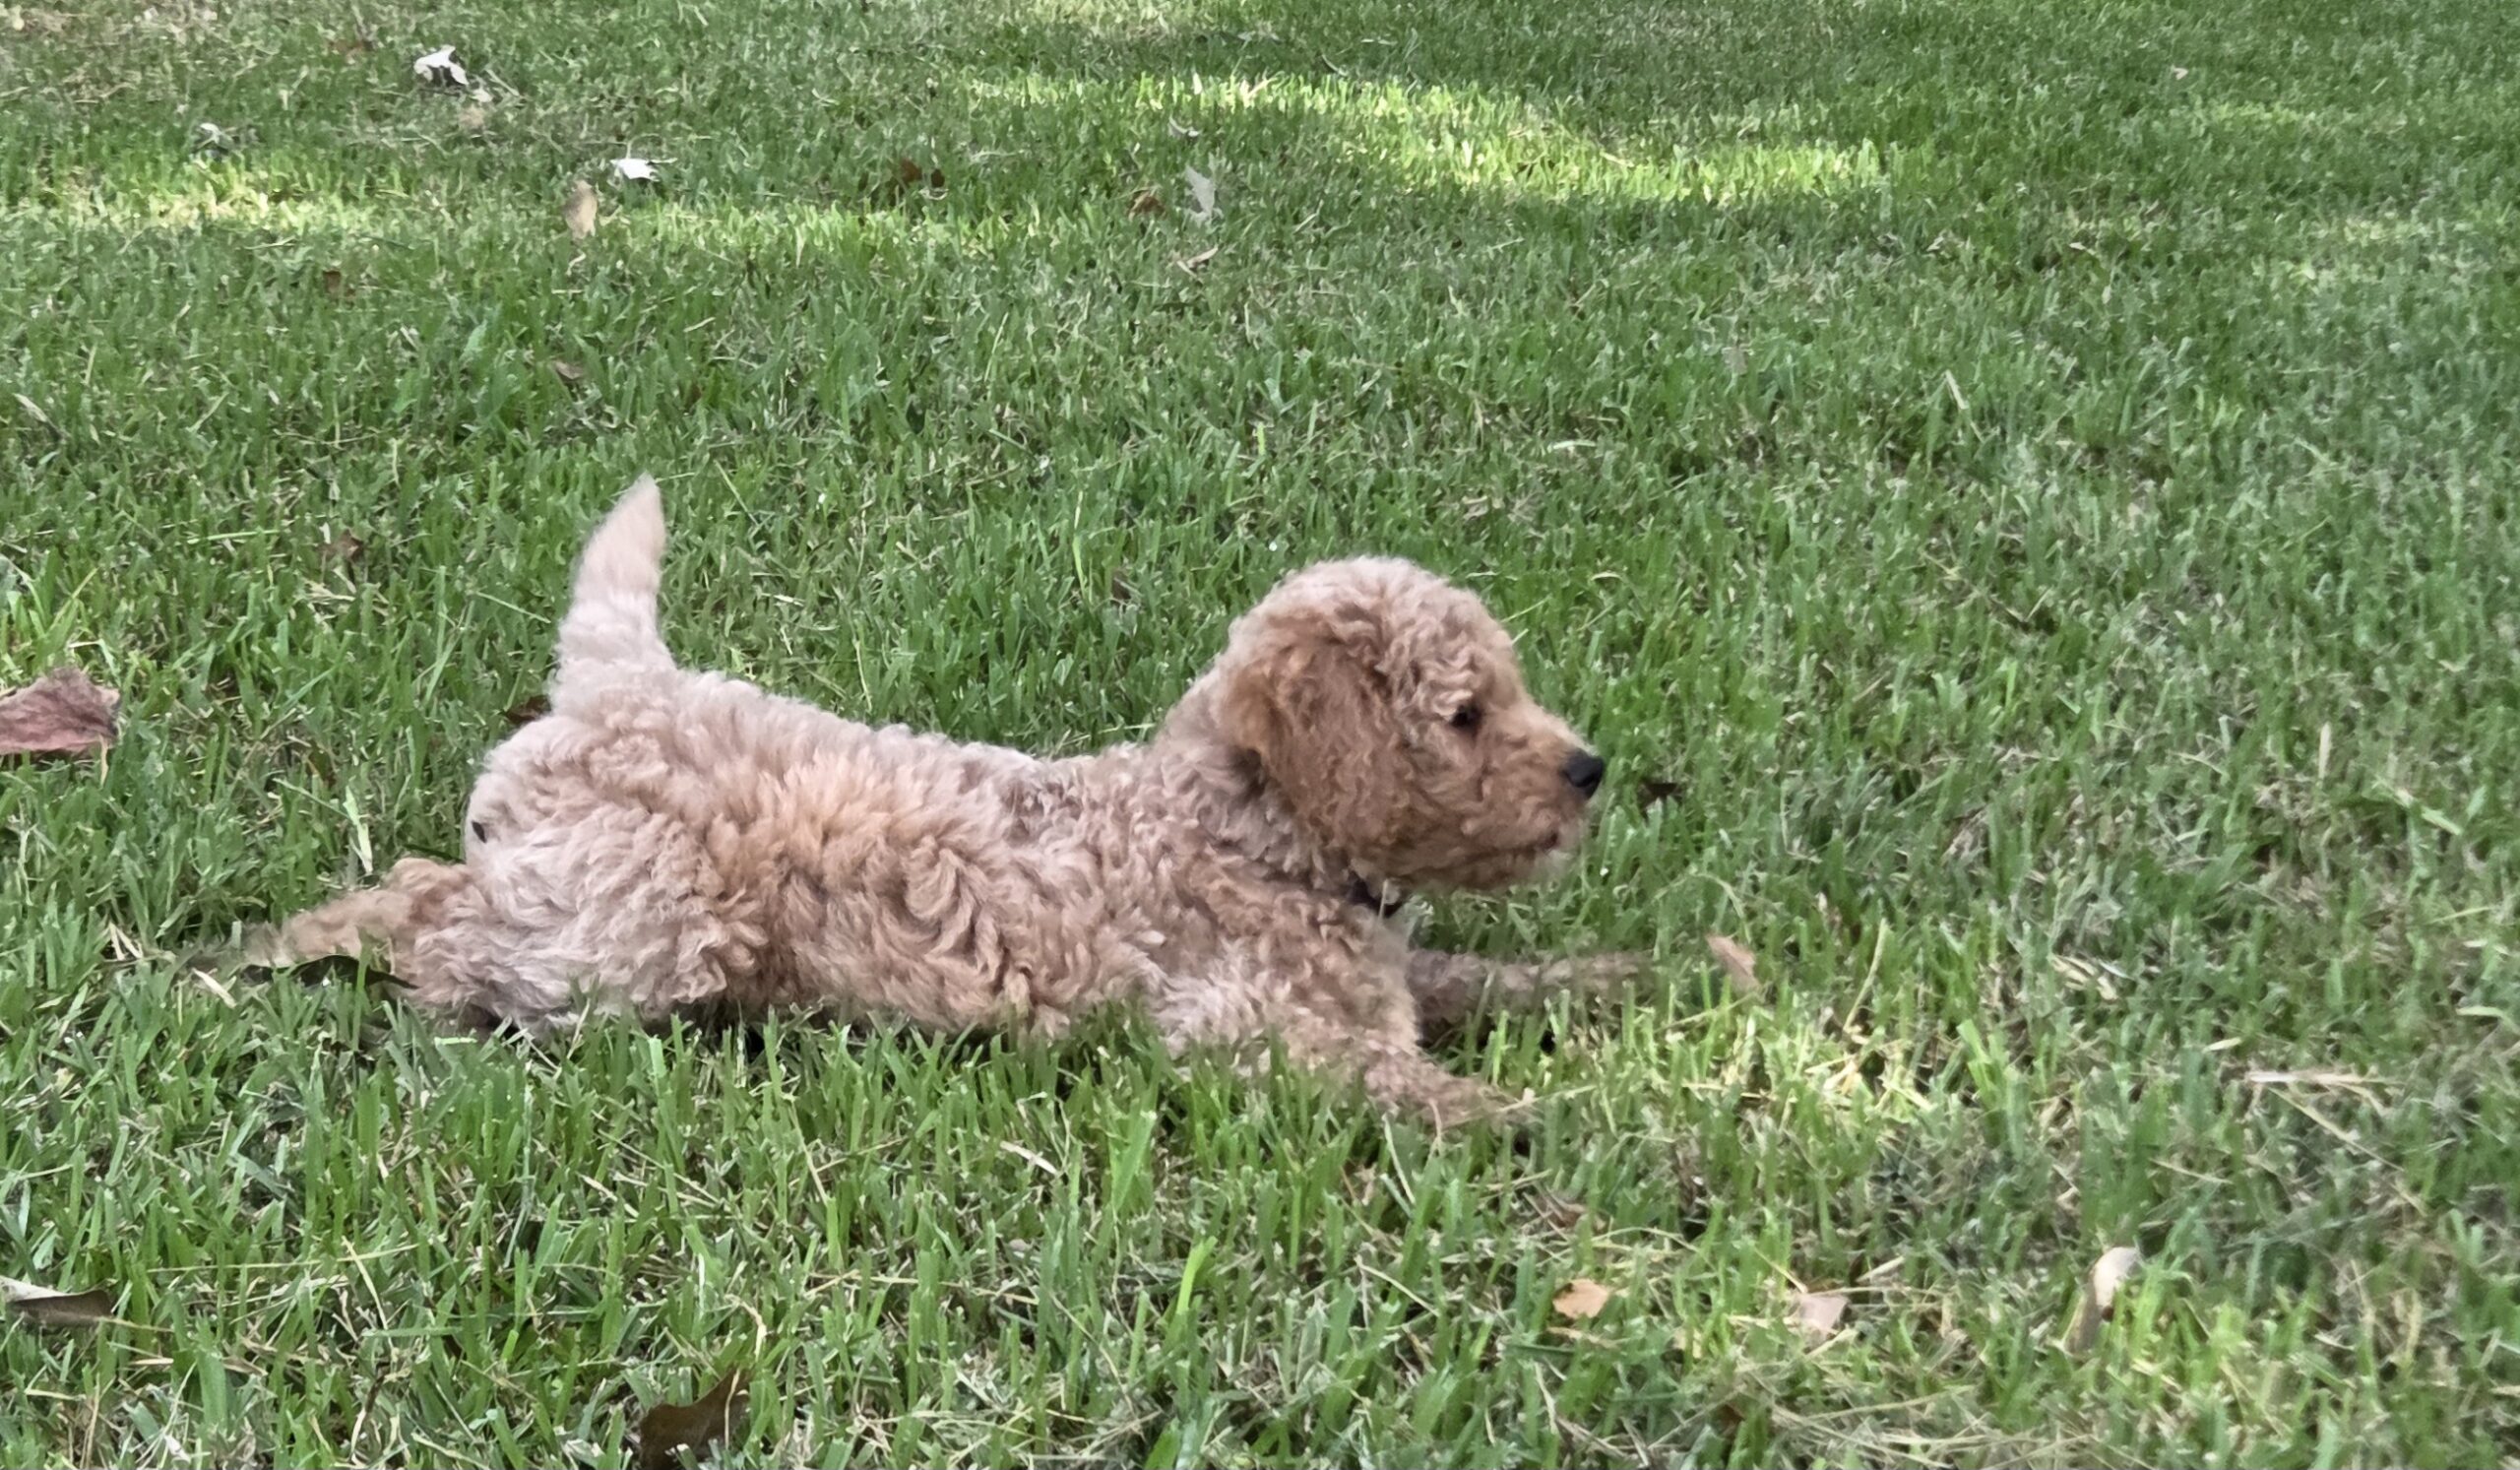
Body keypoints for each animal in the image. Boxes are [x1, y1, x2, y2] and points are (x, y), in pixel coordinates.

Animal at [251, 477, 1638, 1126]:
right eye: (1464, 715)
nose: (1589, 769)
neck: (1254, 833)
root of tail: (627, 683)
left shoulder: (1387, 981)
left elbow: (1488, 980)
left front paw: (1629, 982)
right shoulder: (1245, 1034)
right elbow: (1429, 1091)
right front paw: (1592, 1130)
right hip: (640, 925)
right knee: (438, 914)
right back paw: (300, 954)